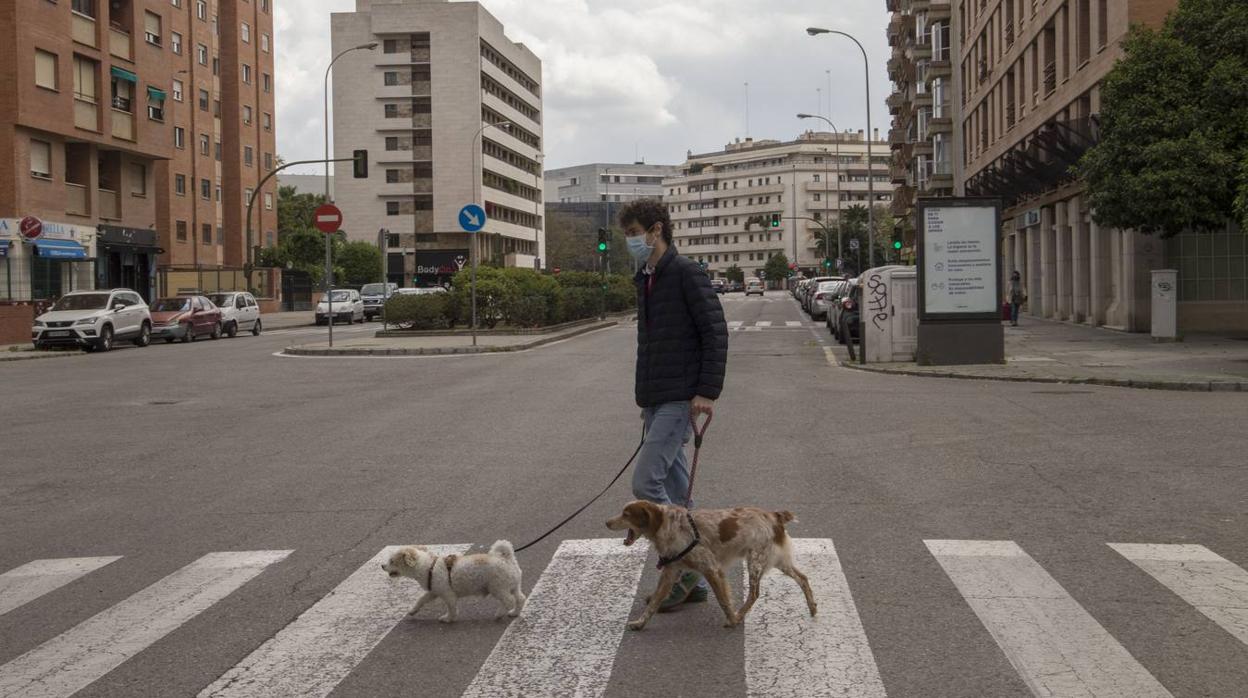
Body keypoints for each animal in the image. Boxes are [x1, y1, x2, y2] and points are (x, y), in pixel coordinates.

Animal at [381, 541, 524, 621]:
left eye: (392, 561)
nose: (382, 566)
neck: (429, 567)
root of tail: (506, 559)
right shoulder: (433, 591)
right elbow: (421, 600)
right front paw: (412, 610)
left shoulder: (447, 594)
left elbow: (451, 607)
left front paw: (449, 618)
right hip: (513, 586)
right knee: (520, 599)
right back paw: (514, 613)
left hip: (498, 587)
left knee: (508, 601)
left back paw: (500, 613)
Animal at [606, 499, 818, 631]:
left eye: (626, 514)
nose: (607, 522)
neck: (669, 526)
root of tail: (773, 515)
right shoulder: (670, 571)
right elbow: (654, 603)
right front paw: (640, 623)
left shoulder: (711, 568)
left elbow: (723, 600)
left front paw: (732, 619)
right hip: (777, 560)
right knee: (803, 578)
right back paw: (812, 607)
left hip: (756, 562)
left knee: (754, 593)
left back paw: (740, 614)